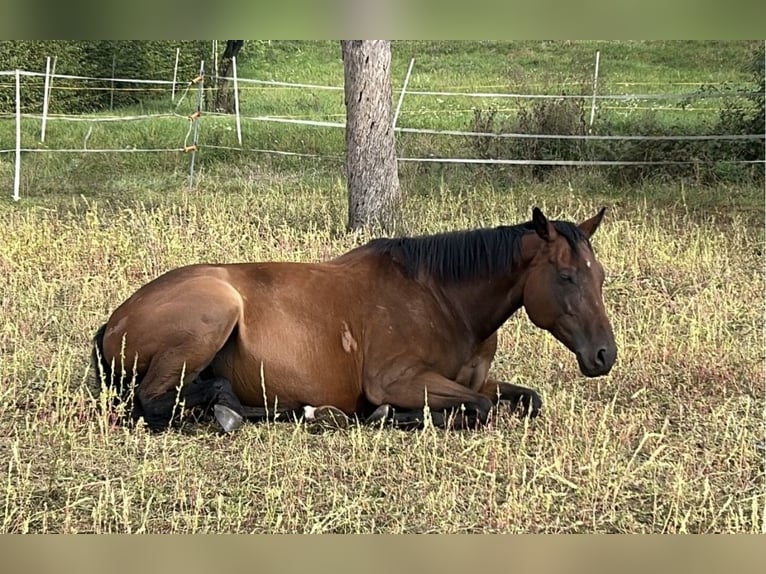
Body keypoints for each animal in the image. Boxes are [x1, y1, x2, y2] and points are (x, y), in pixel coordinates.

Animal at [91, 207, 616, 433]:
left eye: (601, 275)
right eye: (566, 276)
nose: (604, 355)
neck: (442, 299)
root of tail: (114, 322)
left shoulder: (471, 380)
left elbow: (527, 399)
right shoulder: (399, 381)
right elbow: (480, 409)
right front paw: (395, 417)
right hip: (213, 315)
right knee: (155, 403)